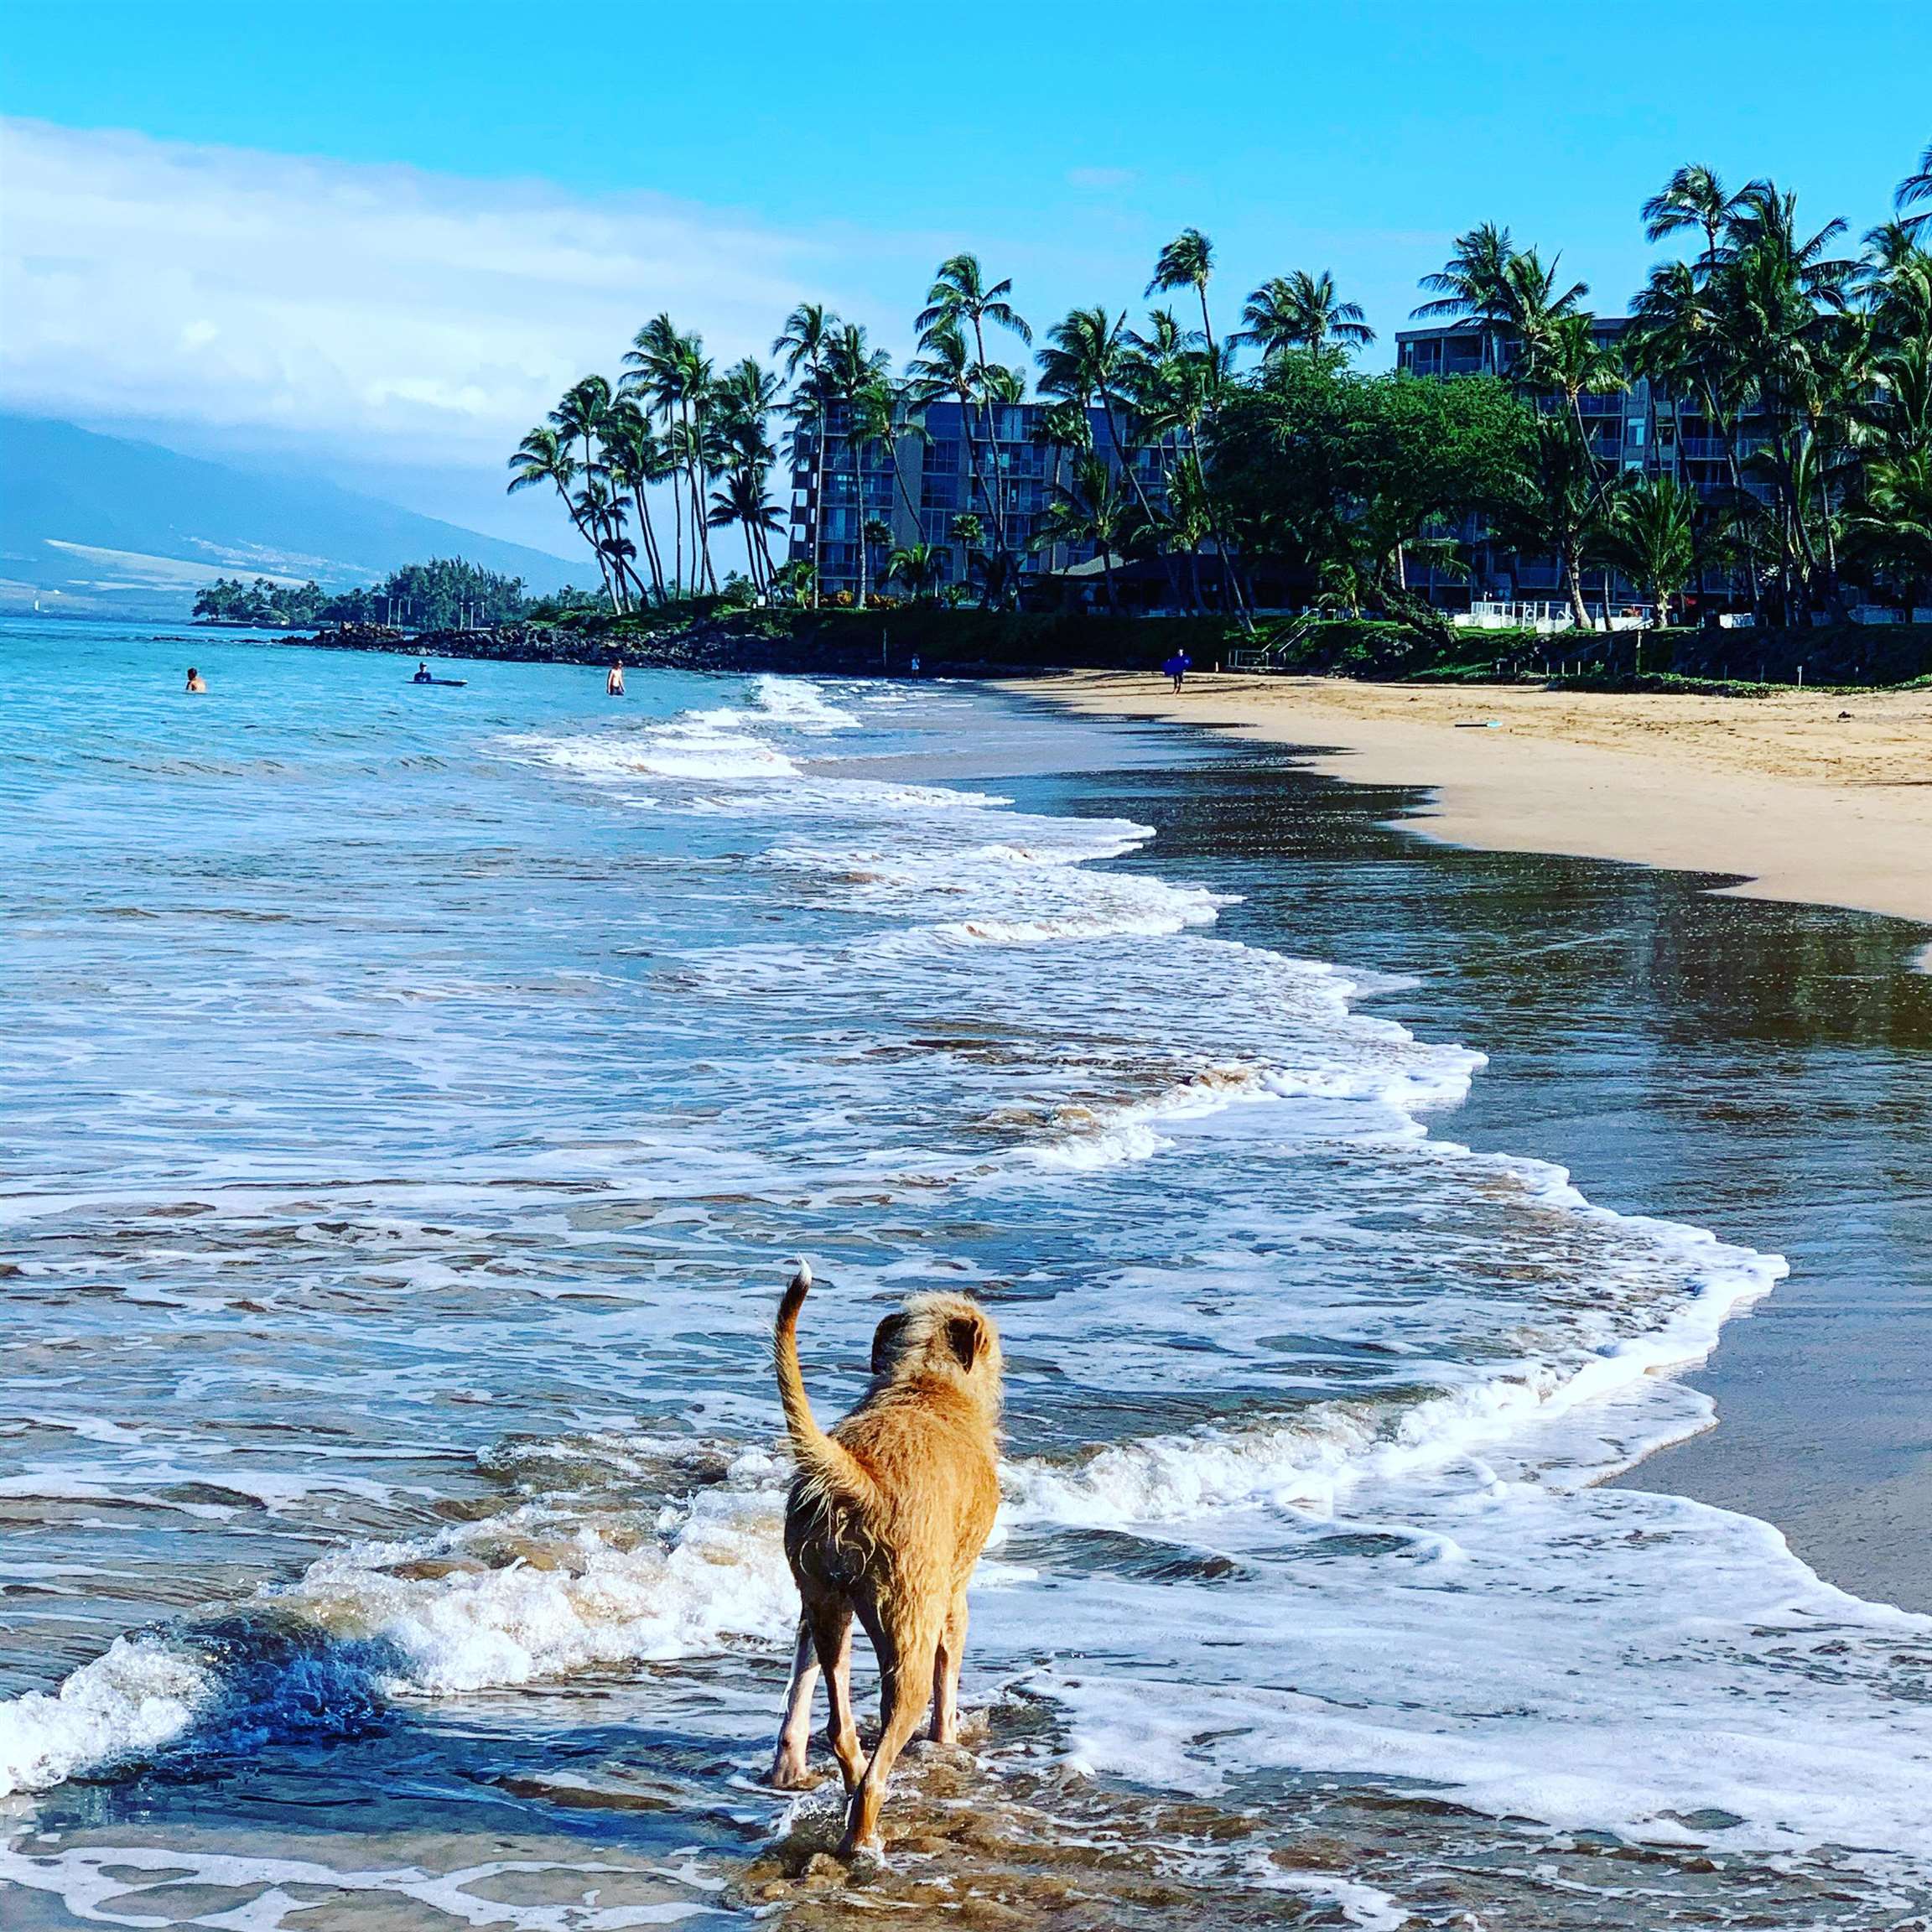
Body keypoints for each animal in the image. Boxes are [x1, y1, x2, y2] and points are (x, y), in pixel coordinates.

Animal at [765, 1259, 1005, 1862]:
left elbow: (801, 1681)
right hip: (907, 1621)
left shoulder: (810, 1606)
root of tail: (859, 1478)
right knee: (892, 1739)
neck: (925, 1384)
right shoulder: (954, 1596)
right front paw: (950, 1742)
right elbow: (949, 1681)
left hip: (825, 1597)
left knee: (840, 1726)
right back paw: (863, 1837)